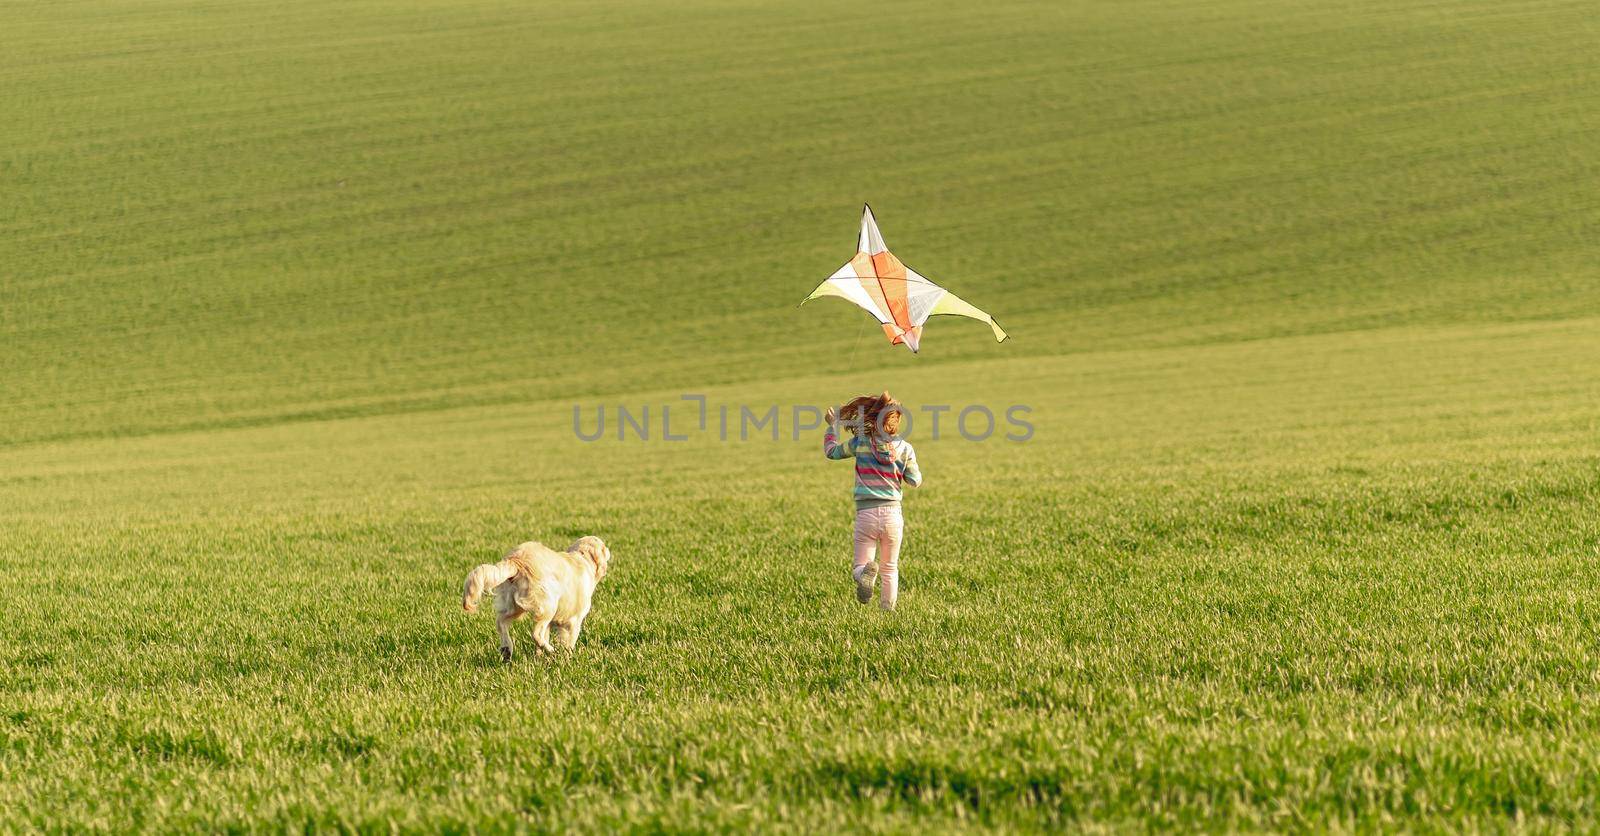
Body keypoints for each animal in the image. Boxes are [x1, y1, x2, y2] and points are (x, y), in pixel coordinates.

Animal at [467, 534, 614, 656]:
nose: (608, 550)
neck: (583, 557)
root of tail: (517, 560)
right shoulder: (574, 620)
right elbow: (569, 643)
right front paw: (567, 659)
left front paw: (539, 659)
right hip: (547, 606)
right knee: (535, 633)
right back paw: (550, 649)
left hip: (514, 606)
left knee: (501, 623)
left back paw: (507, 649)